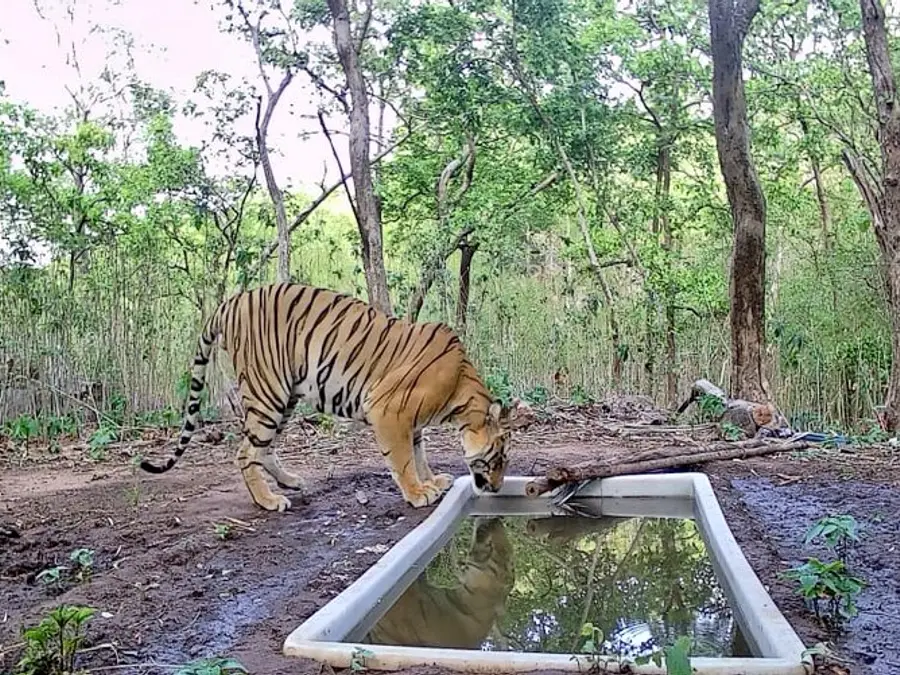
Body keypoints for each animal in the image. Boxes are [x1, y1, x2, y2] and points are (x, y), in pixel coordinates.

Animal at [139, 282, 530, 512]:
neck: (461, 392)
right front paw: (418, 493)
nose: (497, 489)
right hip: (268, 391)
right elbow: (403, 459)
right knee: (245, 451)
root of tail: (231, 301)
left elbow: (419, 453)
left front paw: (431, 480)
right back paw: (268, 500)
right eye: (498, 457)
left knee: (262, 448)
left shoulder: (413, 421)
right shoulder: (389, 410)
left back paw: (290, 481)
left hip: (284, 397)